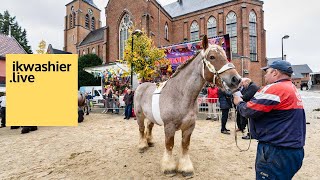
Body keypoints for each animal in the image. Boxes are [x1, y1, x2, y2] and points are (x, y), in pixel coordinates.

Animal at [134, 35, 241, 177]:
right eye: (212, 57)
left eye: (225, 55)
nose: (236, 79)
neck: (180, 95)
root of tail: (141, 86)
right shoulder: (169, 127)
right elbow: (169, 145)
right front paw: (169, 168)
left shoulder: (189, 126)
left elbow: (185, 145)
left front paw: (186, 168)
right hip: (139, 115)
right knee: (141, 129)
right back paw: (142, 146)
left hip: (151, 117)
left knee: (149, 127)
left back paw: (150, 141)